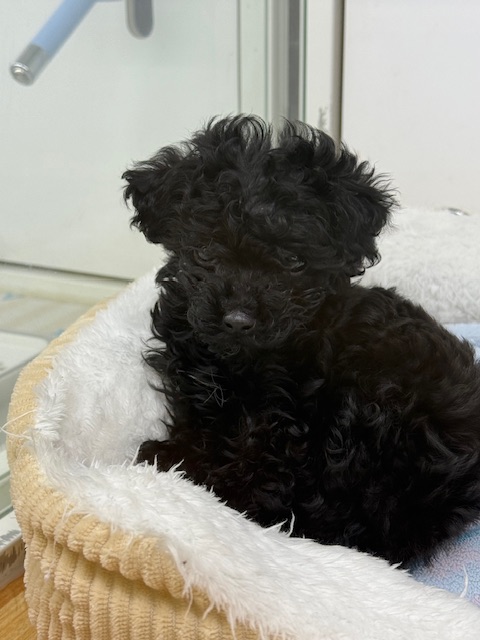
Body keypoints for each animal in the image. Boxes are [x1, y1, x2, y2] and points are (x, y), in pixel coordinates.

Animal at [123, 115, 480, 565]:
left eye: (294, 261)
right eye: (204, 253)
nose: (238, 320)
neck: (239, 361)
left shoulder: (285, 419)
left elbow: (259, 466)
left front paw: (191, 474)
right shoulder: (197, 391)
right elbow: (199, 424)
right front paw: (179, 453)